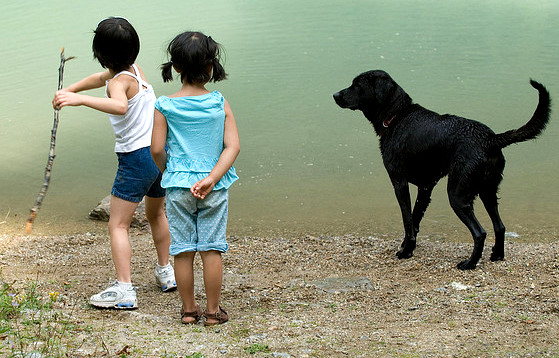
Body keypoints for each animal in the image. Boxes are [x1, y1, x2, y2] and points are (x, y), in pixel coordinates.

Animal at [334, 70, 548, 268]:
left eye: (357, 85)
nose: (335, 94)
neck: (396, 116)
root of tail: (490, 139)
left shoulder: (400, 183)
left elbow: (407, 221)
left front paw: (405, 252)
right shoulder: (426, 187)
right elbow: (415, 221)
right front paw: (408, 247)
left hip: (458, 194)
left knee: (480, 233)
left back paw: (469, 264)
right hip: (487, 191)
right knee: (500, 226)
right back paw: (496, 255)